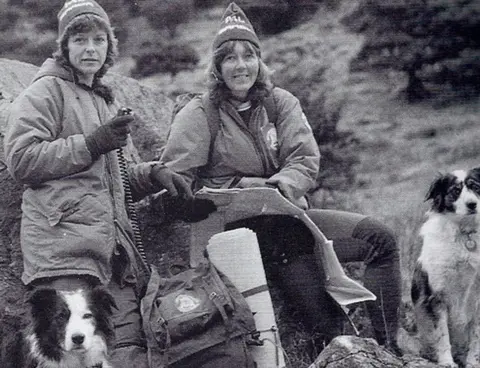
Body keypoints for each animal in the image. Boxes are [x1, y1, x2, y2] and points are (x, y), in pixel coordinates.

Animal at [410, 168, 480, 366]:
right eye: (455, 191)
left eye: (476, 187)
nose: (472, 204)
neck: (465, 233)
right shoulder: (436, 296)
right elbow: (441, 335)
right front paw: (447, 362)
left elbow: (476, 336)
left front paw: (473, 362)